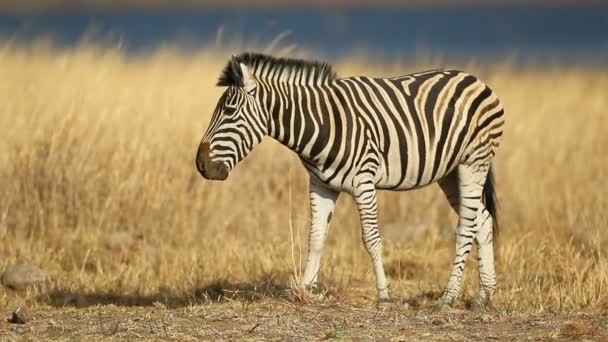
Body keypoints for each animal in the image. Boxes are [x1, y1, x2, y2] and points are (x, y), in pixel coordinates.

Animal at [196, 52, 504, 308]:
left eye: (229, 112)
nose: (201, 165)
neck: (322, 123)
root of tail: (474, 79)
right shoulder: (321, 185)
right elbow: (316, 237)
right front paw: (305, 290)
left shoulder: (363, 182)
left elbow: (371, 238)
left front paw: (384, 296)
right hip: (450, 172)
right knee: (483, 219)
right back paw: (484, 296)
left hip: (473, 162)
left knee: (466, 227)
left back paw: (449, 297)